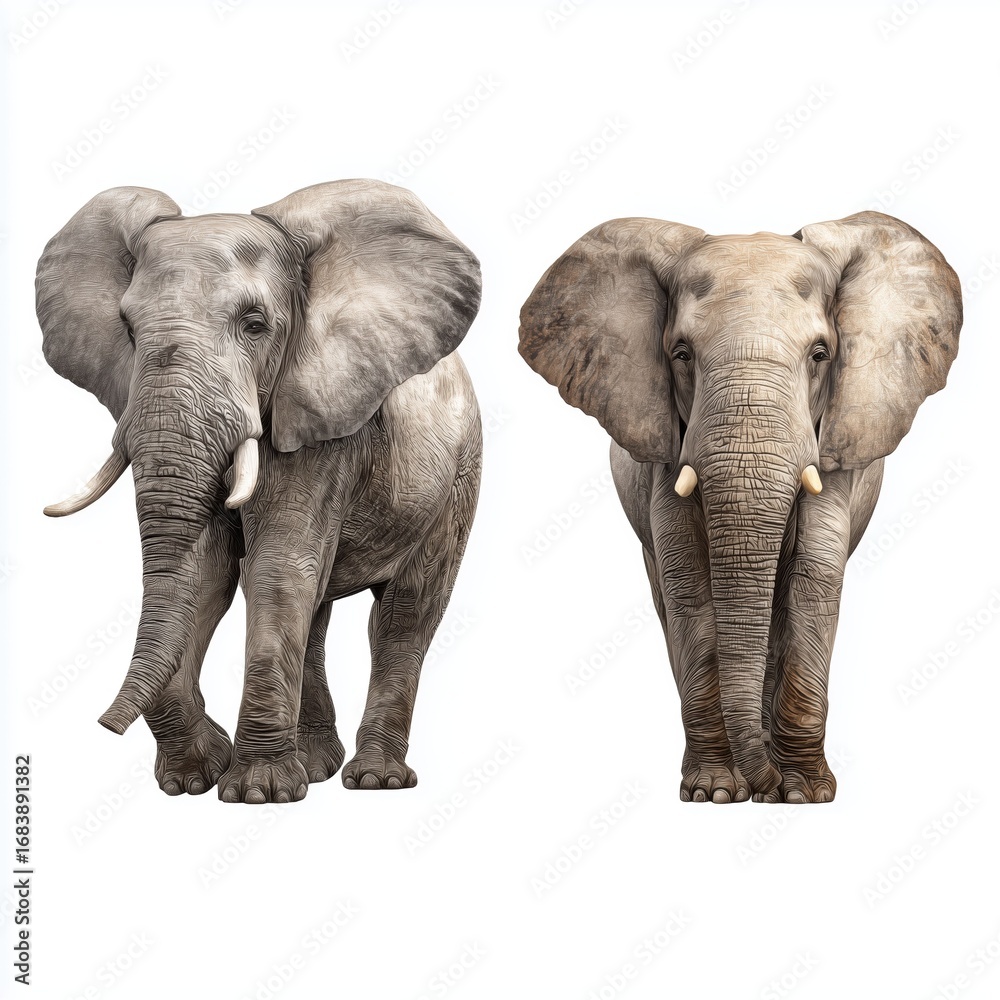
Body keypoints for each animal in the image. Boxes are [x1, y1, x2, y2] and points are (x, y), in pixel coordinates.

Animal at [37, 179, 482, 803]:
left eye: (255, 325)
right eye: (127, 328)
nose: (102, 725)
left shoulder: (323, 420)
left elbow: (276, 565)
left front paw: (257, 792)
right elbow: (206, 571)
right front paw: (195, 777)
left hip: (459, 475)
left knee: (405, 615)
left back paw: (375, 780)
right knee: (317, 608)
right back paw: (317, 764)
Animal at [519, 212, 961, 803]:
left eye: (820, 355)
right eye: (681, 354)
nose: (762, 785)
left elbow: (814, 576)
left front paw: (803, 795)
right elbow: (686, 579)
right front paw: (714, 792)